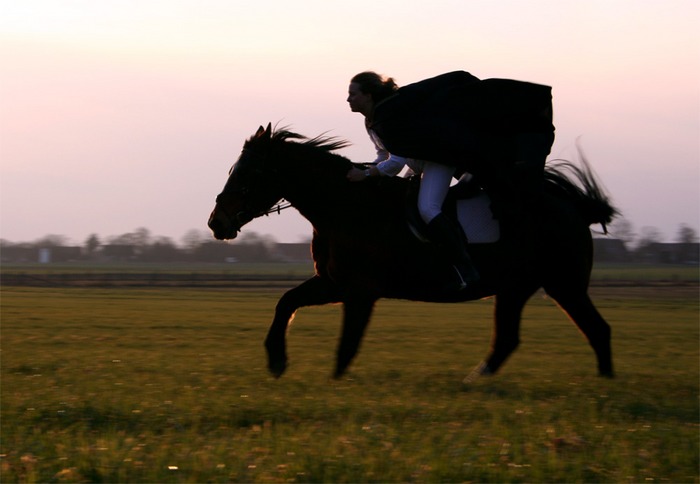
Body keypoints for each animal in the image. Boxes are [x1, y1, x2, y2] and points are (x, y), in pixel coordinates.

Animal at [208, 124, 616, 382]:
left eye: (246, 174)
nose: (216, 222)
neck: (346, 207)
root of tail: (573, 208)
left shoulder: (360, 292)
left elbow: (346, 346)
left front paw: (331, 384)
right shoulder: (333, 284)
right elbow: (286, 303)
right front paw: (277, 359)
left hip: (564, 285)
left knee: (598, 329)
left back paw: (605, 383)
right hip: (515, 289)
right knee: (508, 340)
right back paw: (474, 382)